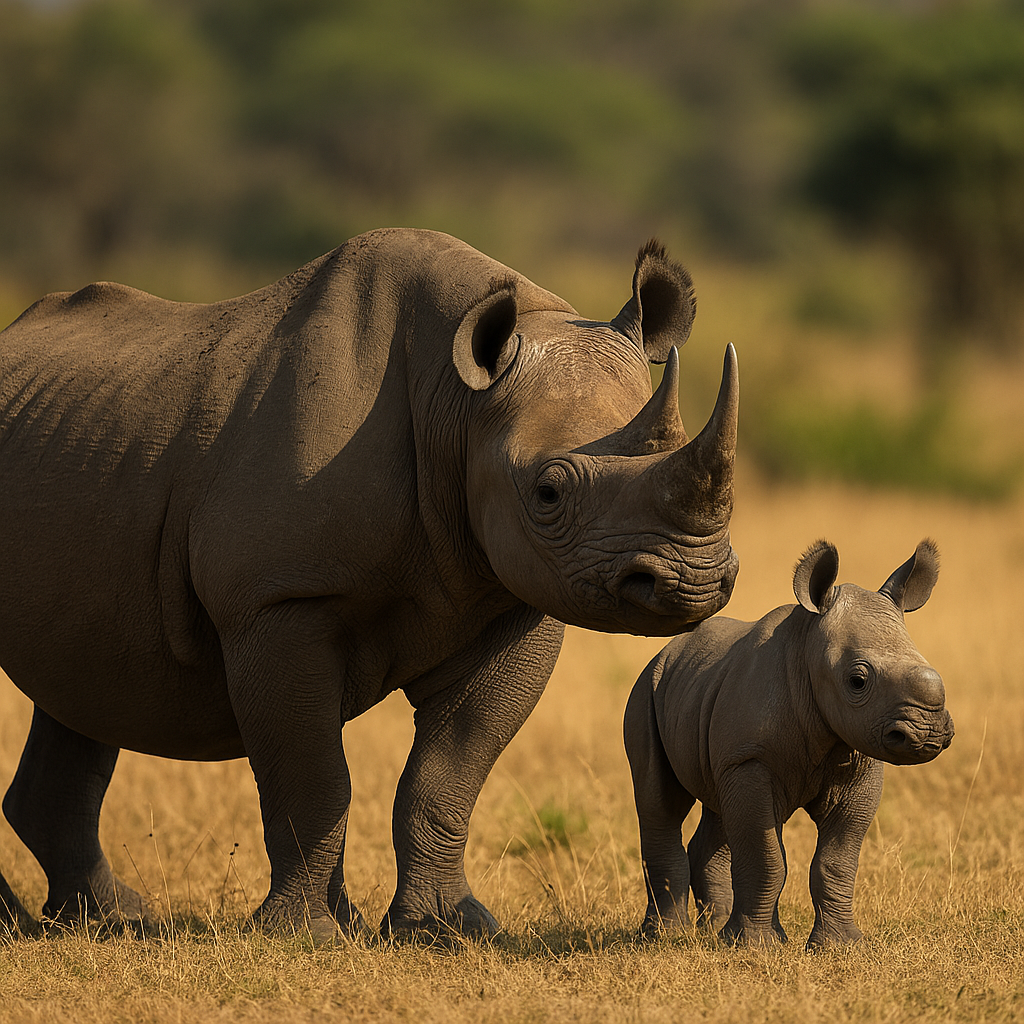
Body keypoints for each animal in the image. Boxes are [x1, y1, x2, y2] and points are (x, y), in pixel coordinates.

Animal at [0, 228, 739, 941]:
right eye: (547, 492)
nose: (693, 581)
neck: (459, 404)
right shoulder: (281, 598)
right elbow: (313, 778)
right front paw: (306, 937)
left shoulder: (513, 600)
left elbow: (448, 773)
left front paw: (443, 930)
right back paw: (34, 925)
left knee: (85, 687)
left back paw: (109, 922)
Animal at [624, 538, 953, 949]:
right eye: (857, 681)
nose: (927, 734)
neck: (808, 649)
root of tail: (665, 652)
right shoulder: (751, 760)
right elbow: (767, 856)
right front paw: (756, 947)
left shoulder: (858, 764)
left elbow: (837, 861)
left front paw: (840, 946)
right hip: (646, 692)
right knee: (661, 801)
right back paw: (665, 939)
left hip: (700, 691)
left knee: (718, 810)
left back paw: (713, 931)